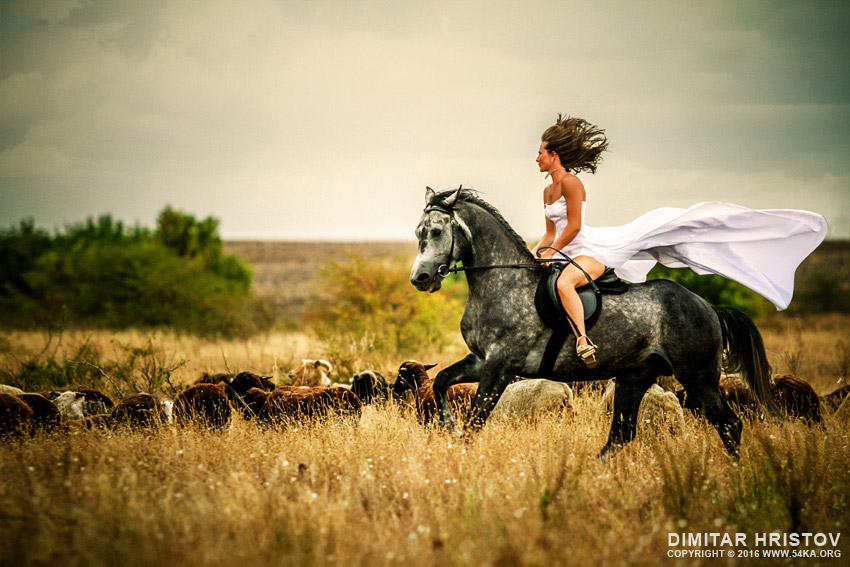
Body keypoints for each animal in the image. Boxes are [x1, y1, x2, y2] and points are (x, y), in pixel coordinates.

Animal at [408, 189, 780, 460]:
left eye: (437, 231)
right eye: (418, 233)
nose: (419, 279)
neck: (501, 281)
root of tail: (709, 307)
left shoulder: (500, 365)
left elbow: (476, 420)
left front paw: (459, 450)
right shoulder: (481, 360)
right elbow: (441, 382)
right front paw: (449, 429)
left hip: (697, 377)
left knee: (729, 424)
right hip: (634, 377)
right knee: (621, 434)